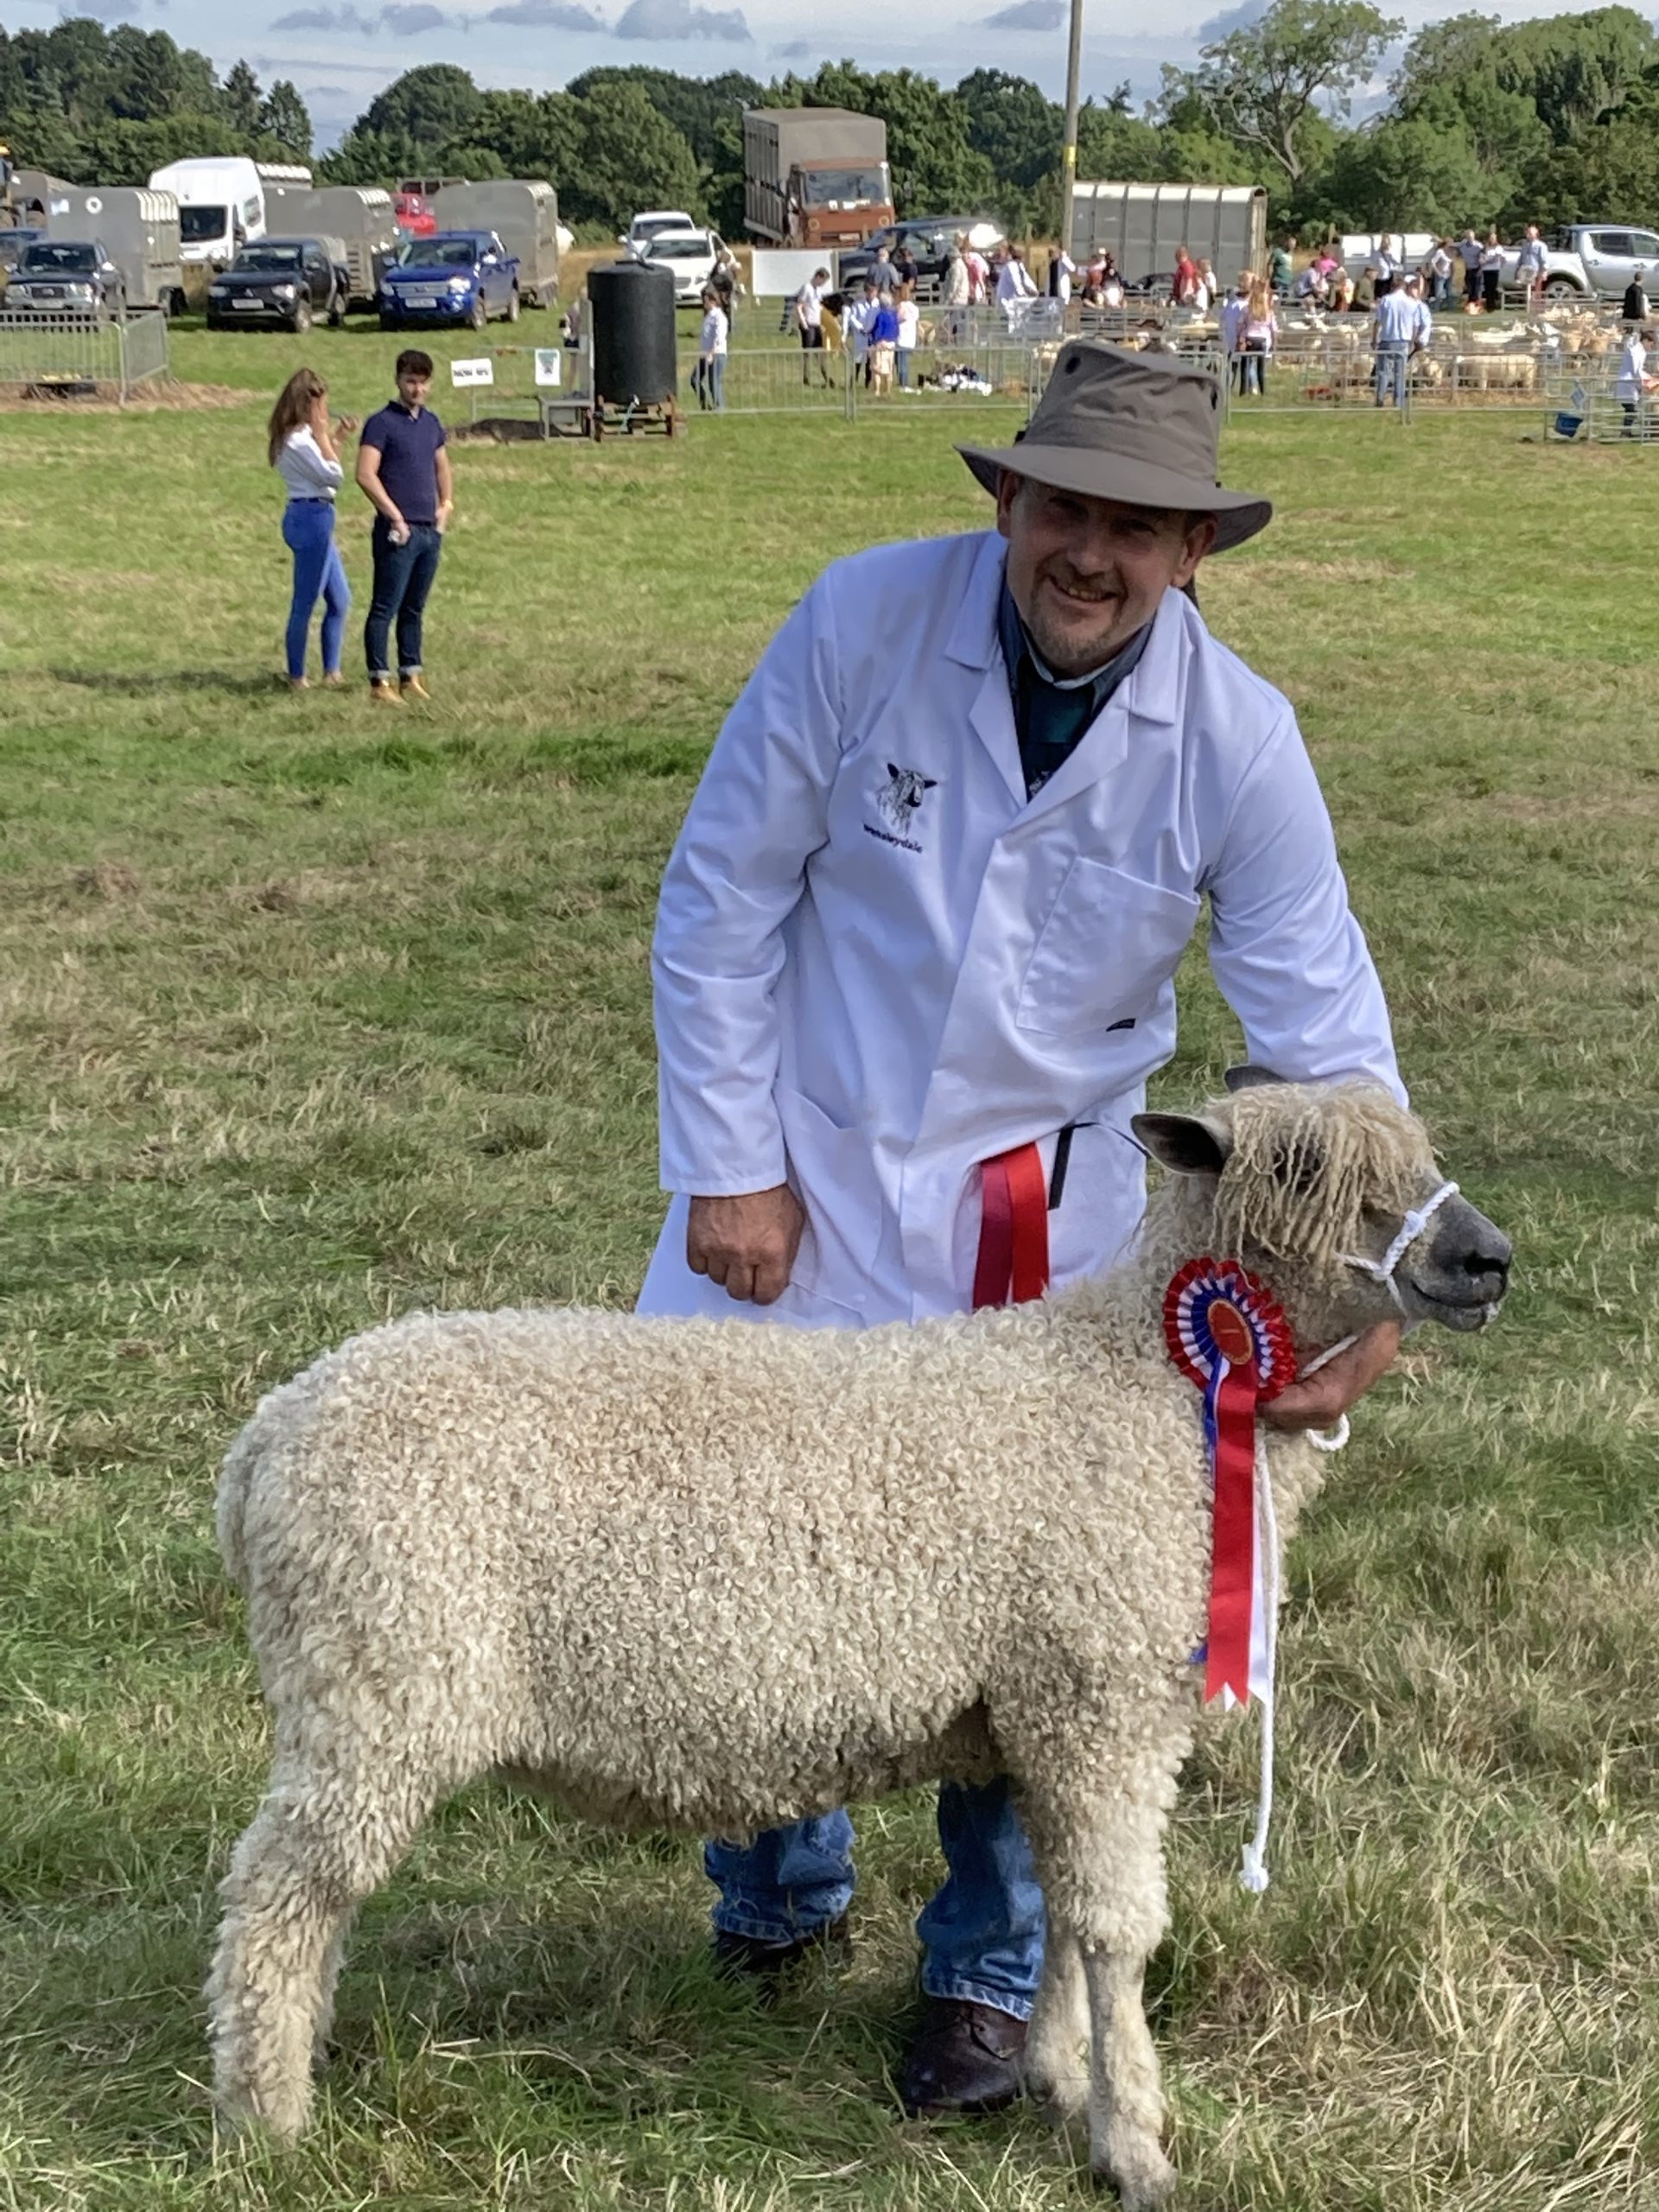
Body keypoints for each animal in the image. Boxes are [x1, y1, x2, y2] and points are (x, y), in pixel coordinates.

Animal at [206, 1079, 1511, 2206]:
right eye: (1298, 1169)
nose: (1486, 1258)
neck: (1138, 1382)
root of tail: (265, 1444)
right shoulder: (1102, 1701)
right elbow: (1114, 1928)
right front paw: (1135, 2143)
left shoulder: (1046, 1714)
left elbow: (1056, 1909)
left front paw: (1058, 2075)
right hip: (377, 1687)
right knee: (276, 1901)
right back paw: (268, 2120)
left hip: (356, 1692)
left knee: (300, 1901)